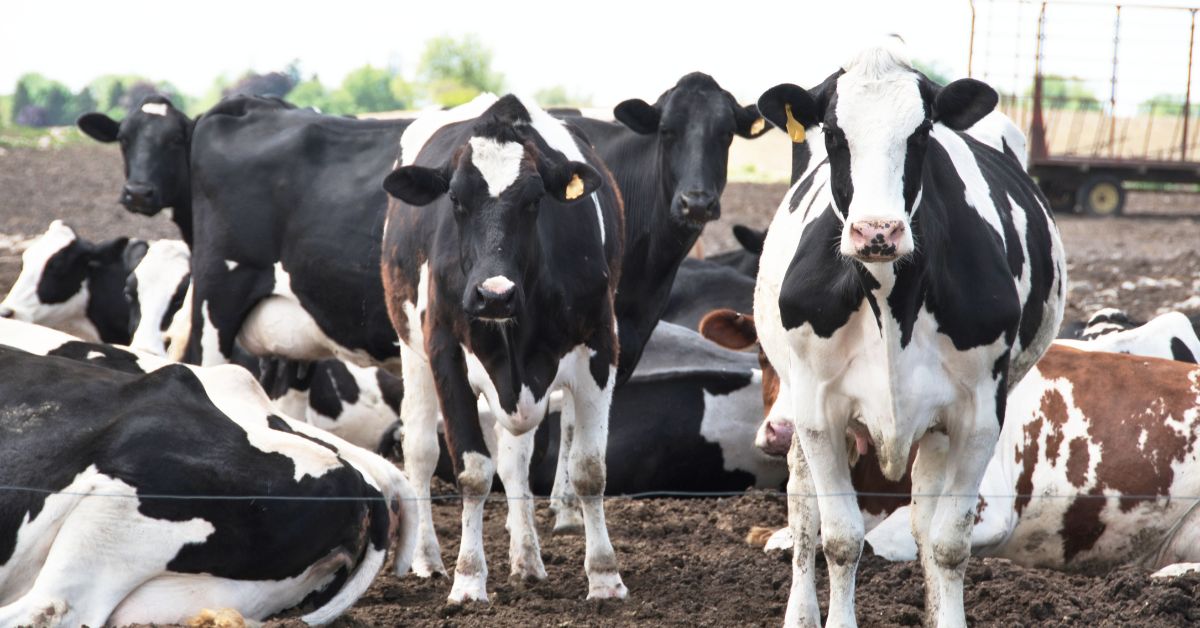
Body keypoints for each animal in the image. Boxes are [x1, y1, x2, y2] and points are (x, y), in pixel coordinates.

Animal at [380, 94, 625, 602]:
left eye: (534, 201)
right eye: (455, 199)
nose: (494, 294)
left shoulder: (600, 348)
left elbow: (588, 468)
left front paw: (605, 576)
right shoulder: (445, 354)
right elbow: (473, 472)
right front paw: (469, 579)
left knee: (516, 464)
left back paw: (527, 561)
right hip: (412, 354)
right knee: (420, 452)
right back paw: (428, 559)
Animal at [754, 40, 1066, 626]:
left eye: (921, 134)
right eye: (834, 135)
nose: (877, 231)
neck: (888, 297)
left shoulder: (978, 414)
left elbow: (948, 542)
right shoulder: (818, 411)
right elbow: (840, 538)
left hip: (940, 425)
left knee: (923, 517)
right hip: (799, 406)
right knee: (803, 508)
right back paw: (800, 612)